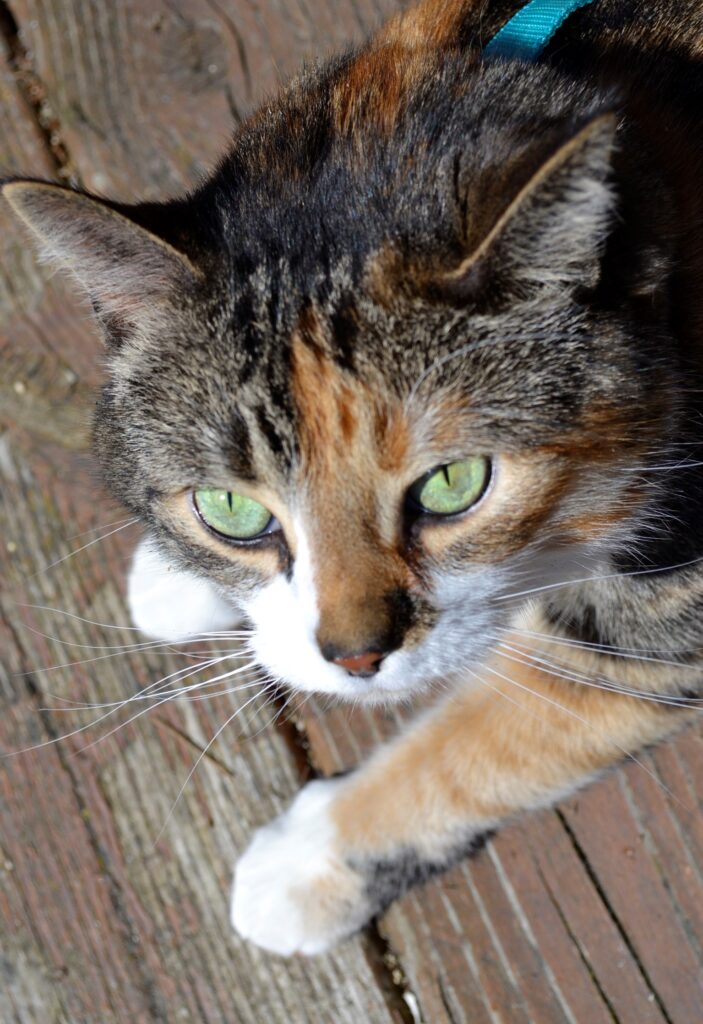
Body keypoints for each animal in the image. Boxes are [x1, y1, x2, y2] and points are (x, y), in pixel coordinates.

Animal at [1, 0, 703, 958]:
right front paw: (178, 579)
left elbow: (511, 731)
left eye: (454, 485)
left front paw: (307, 863)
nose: (355, 655)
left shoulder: (663, 605)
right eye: (229, 508)